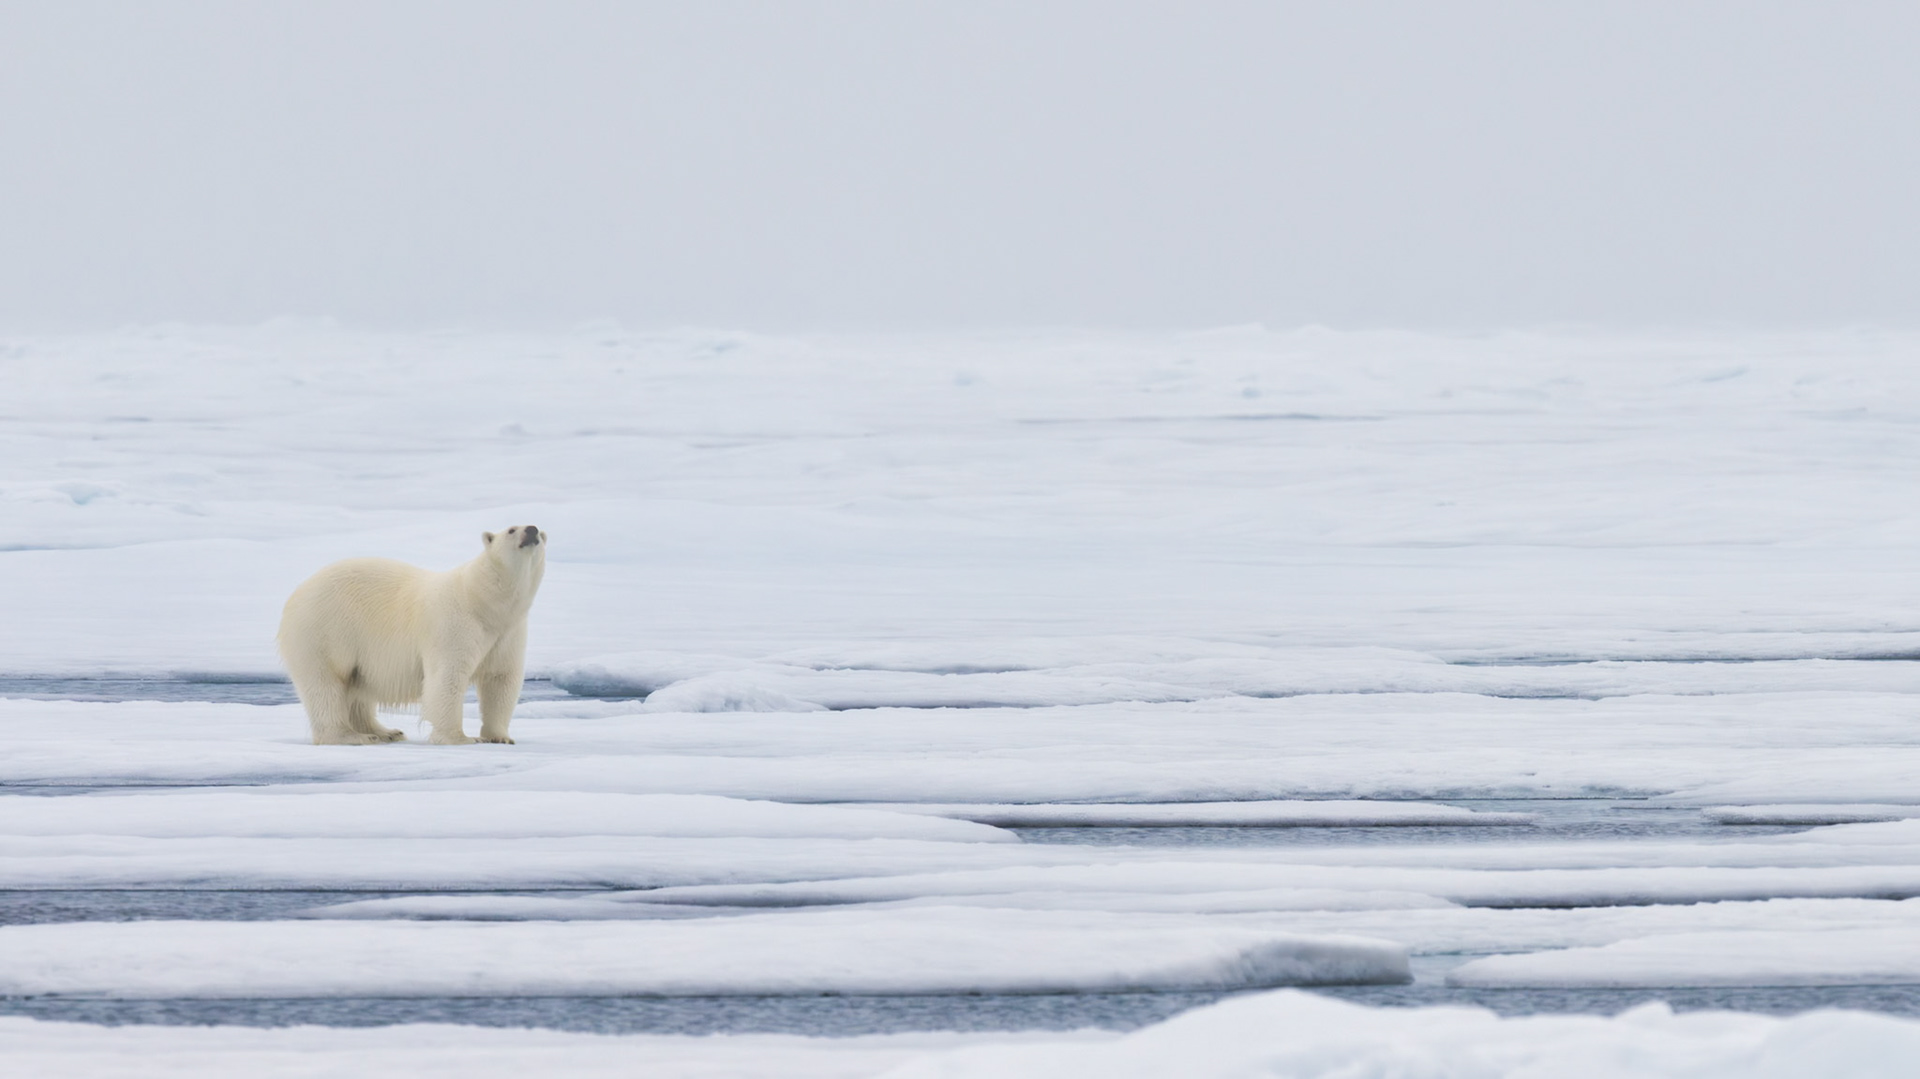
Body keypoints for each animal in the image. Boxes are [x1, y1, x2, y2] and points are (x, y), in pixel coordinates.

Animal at [277, 525, 546, 745]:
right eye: (512, 529)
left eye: (541, 533)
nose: (532, 530)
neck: (482, 601)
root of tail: (293, 598)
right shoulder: (454, 625)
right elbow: (447, 677)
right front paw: (461, 738)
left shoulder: (508, 632)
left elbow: (500, 679)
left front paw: (500, 737)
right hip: (323, 631)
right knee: (326, 684)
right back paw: (351, 736)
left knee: (356, 687)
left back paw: (385, 731)